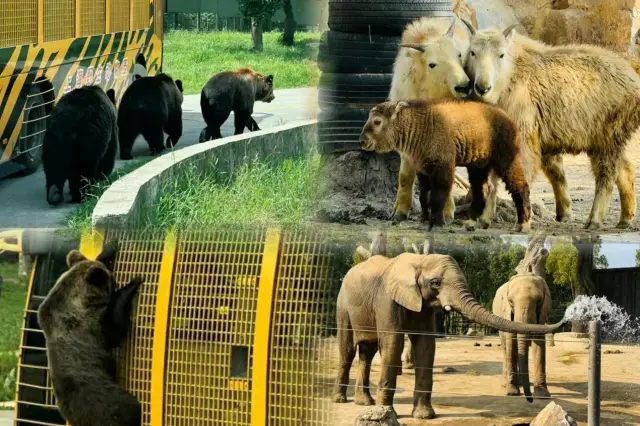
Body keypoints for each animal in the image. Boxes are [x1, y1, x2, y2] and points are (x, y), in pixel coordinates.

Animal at [38, 243, 146, 426]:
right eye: (112, 281)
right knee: (129, 409)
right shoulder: (90, 325)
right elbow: (116, 326)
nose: (116, 280)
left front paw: (110, 247)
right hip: (107, 402)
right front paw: (133, 282)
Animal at [492, 272, 552, 402]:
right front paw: (512, 393)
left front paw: (542, 395)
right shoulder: (507, 314)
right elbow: (511, 341)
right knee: (505, 346)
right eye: (510, 301)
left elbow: (539, 343)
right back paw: (506, 383)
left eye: (539, 300)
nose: (530, 399)